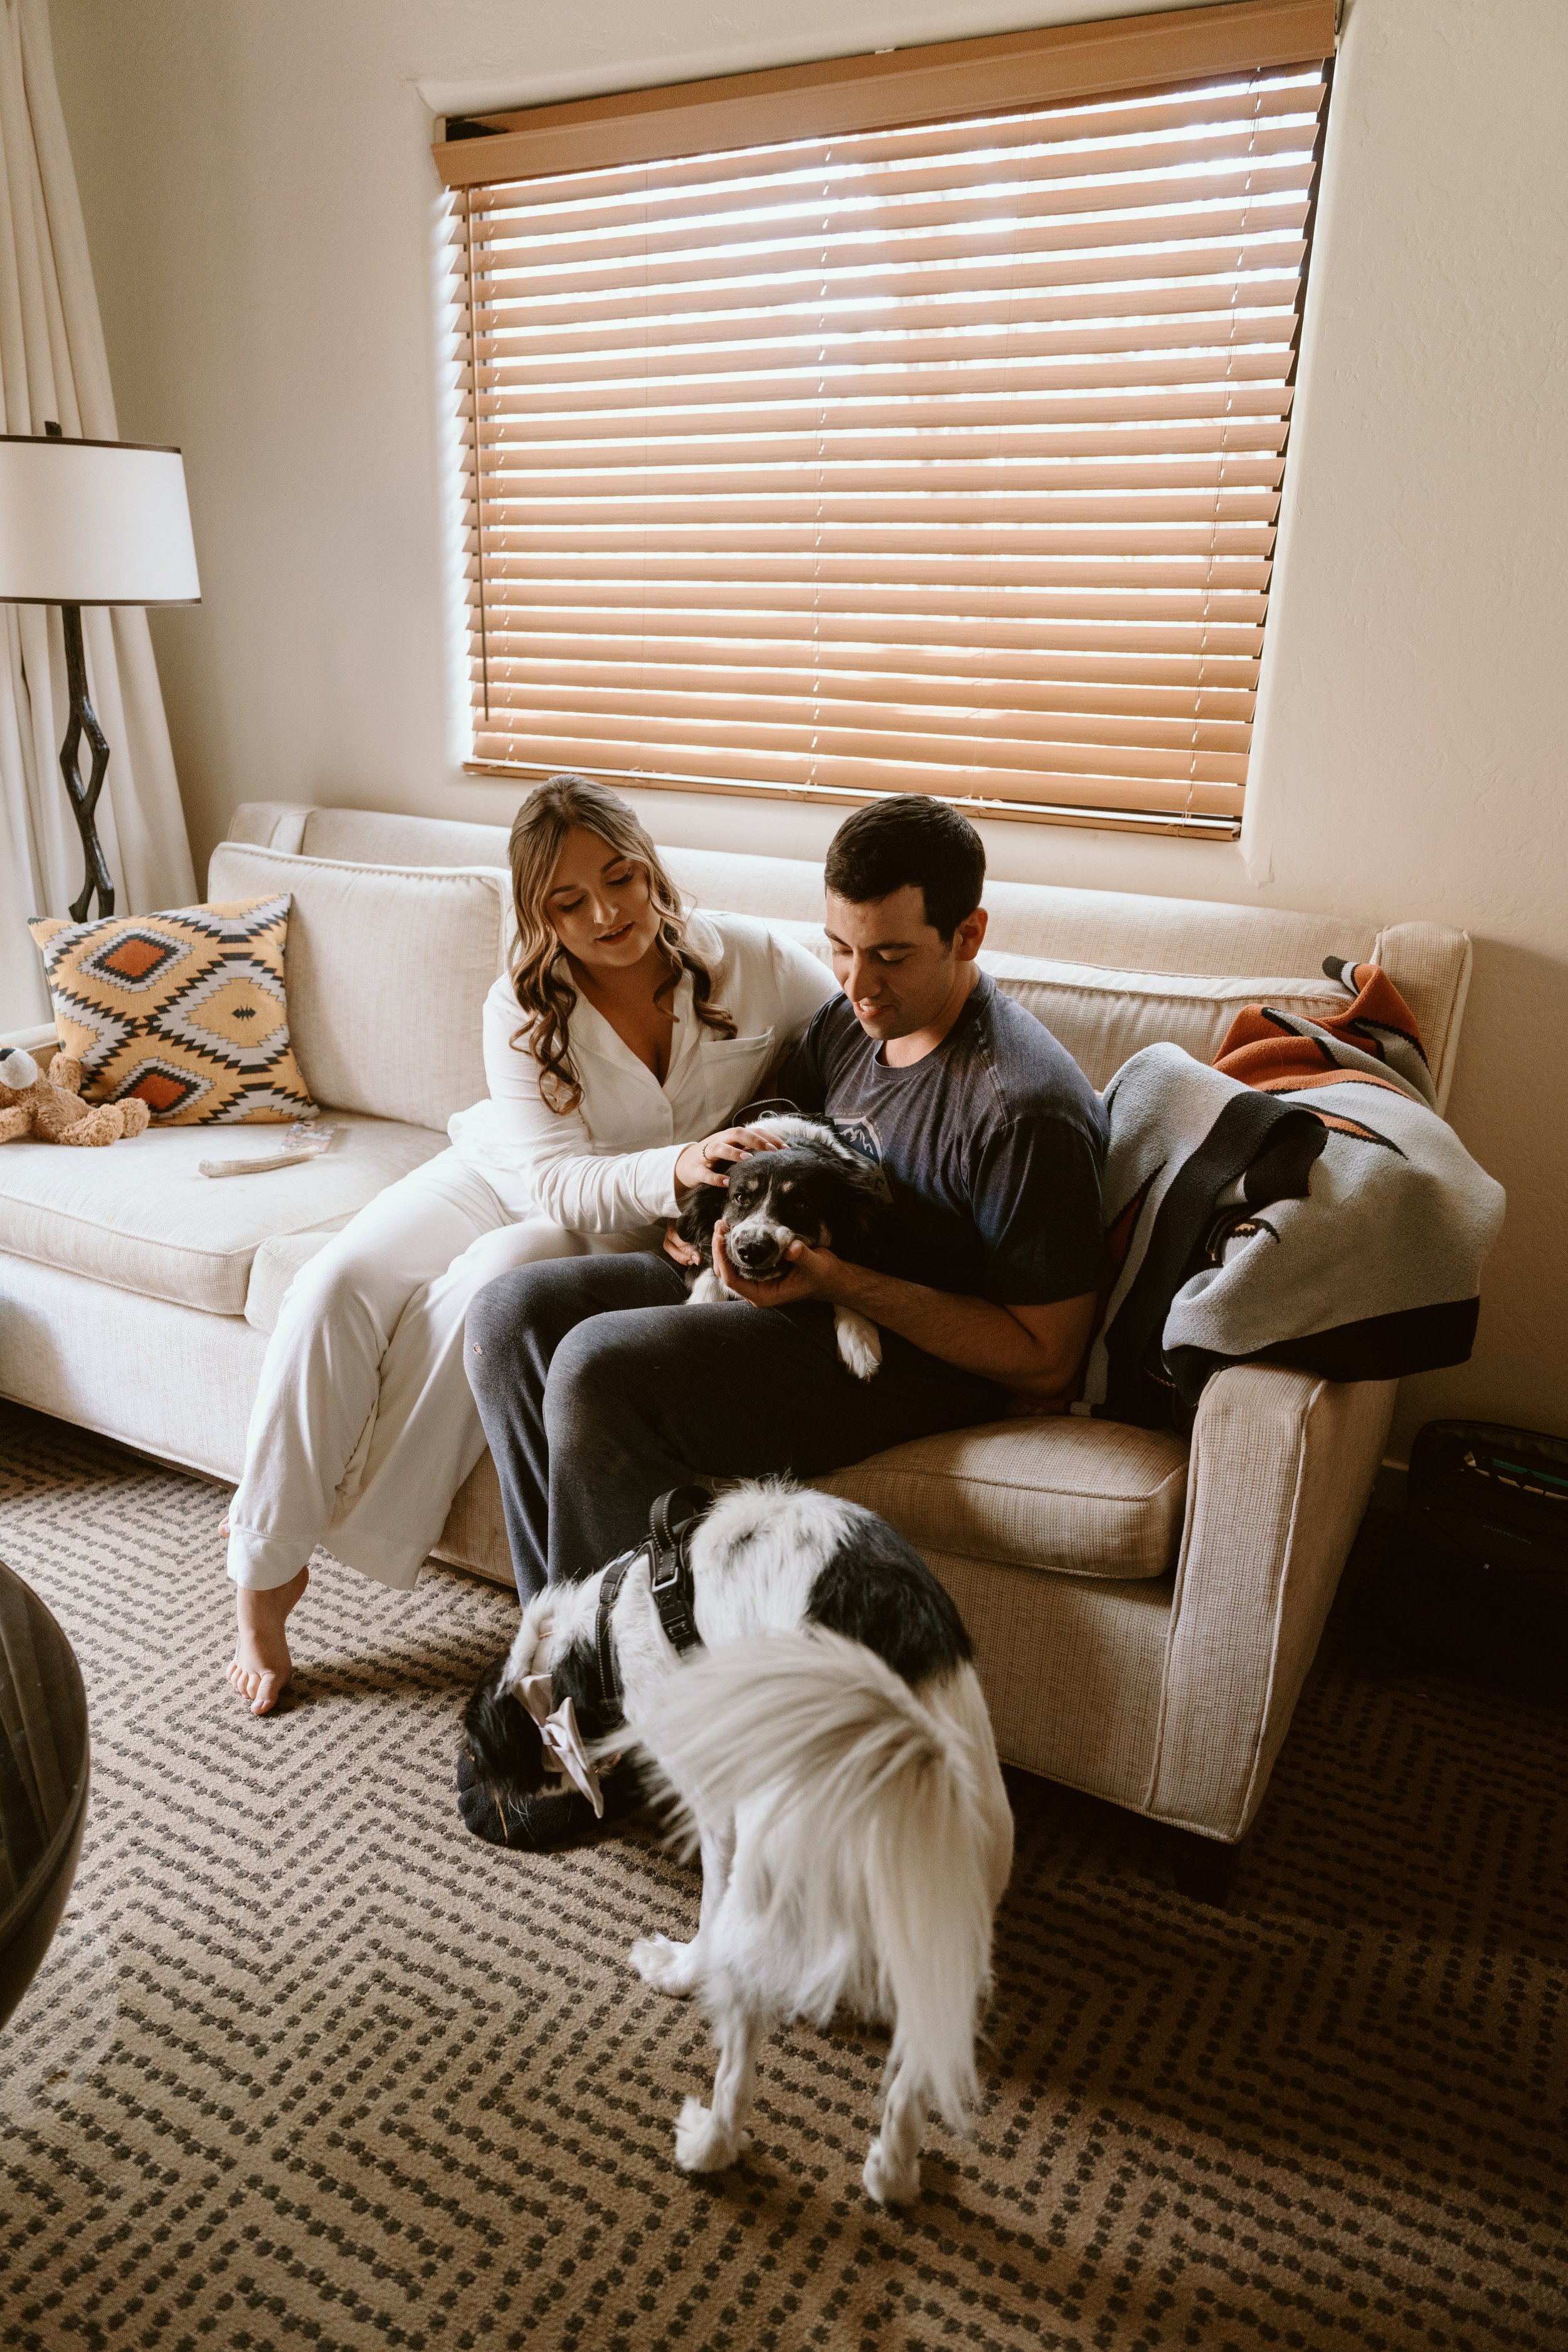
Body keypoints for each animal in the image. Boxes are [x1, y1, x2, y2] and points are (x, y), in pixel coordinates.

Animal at [460, 1486, 1010, 2201]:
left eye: (476, 1751)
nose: (468, 1803)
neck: (610, 1623)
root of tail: (903, 1739)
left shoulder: (716, 1807)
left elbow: (709, 1919)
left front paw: (679, 1969)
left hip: (768, 1859)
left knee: (740, 2041)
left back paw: (710, 2143)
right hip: (944, 1904)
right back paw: (894, 2173)